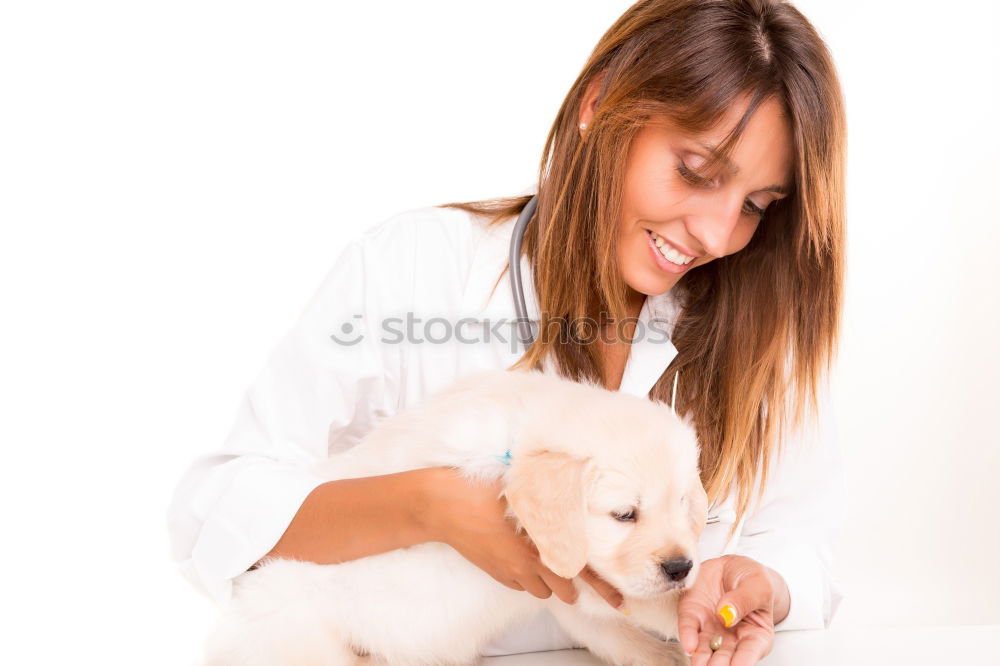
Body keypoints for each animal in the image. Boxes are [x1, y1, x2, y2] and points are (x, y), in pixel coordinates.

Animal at [201, 368, 704, 664]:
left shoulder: (563, 597)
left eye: (681, 503)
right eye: (625, 515)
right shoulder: (569, 573)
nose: (681, 567)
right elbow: (639, 601)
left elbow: (612, 631)